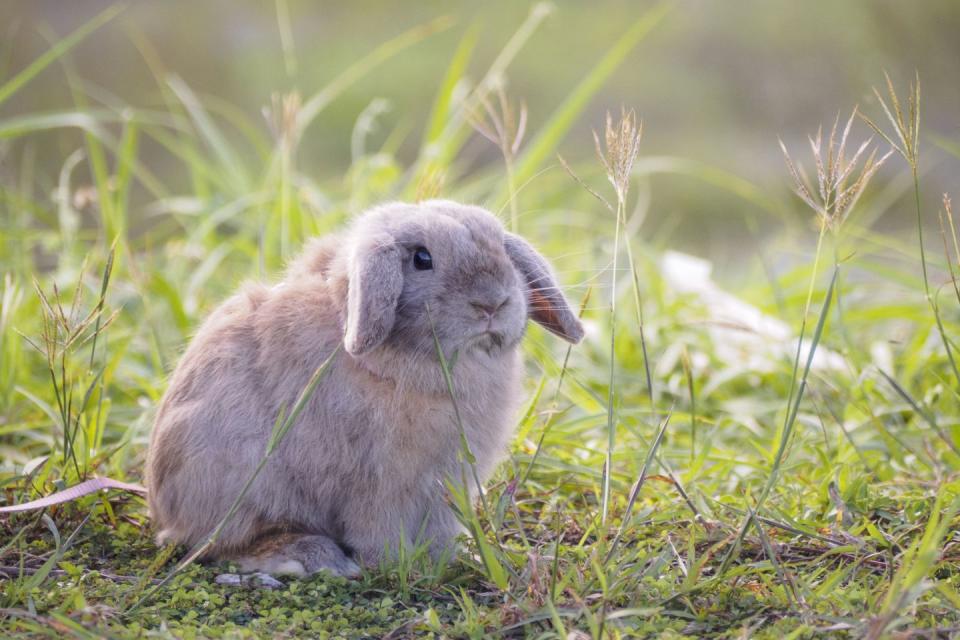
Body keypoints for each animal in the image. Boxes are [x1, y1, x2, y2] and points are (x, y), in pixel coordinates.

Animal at [147, 199, 584, 576]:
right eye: (422, 258)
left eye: (502, 250)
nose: (492, 303)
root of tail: (164, 511)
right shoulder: (378, 481)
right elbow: (376, 527)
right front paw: (393, 563)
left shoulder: (446, 484)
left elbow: (440, 528)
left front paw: (448, 559)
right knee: (225, 544)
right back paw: (314, 558)